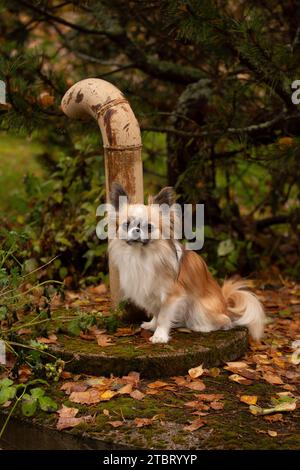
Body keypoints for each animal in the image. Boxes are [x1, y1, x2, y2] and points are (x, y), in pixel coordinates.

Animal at [108, 182, 264, 344]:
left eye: (149, 227)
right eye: (126, 225)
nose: (136, 230)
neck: (142, 255)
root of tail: (225, 305)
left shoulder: (171, 295)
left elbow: (163, 316)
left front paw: (159, 335)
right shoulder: (151, 293)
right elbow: (157, 313)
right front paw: (152, 325)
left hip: (200, 307)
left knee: (225, 321)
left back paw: (202, 327)